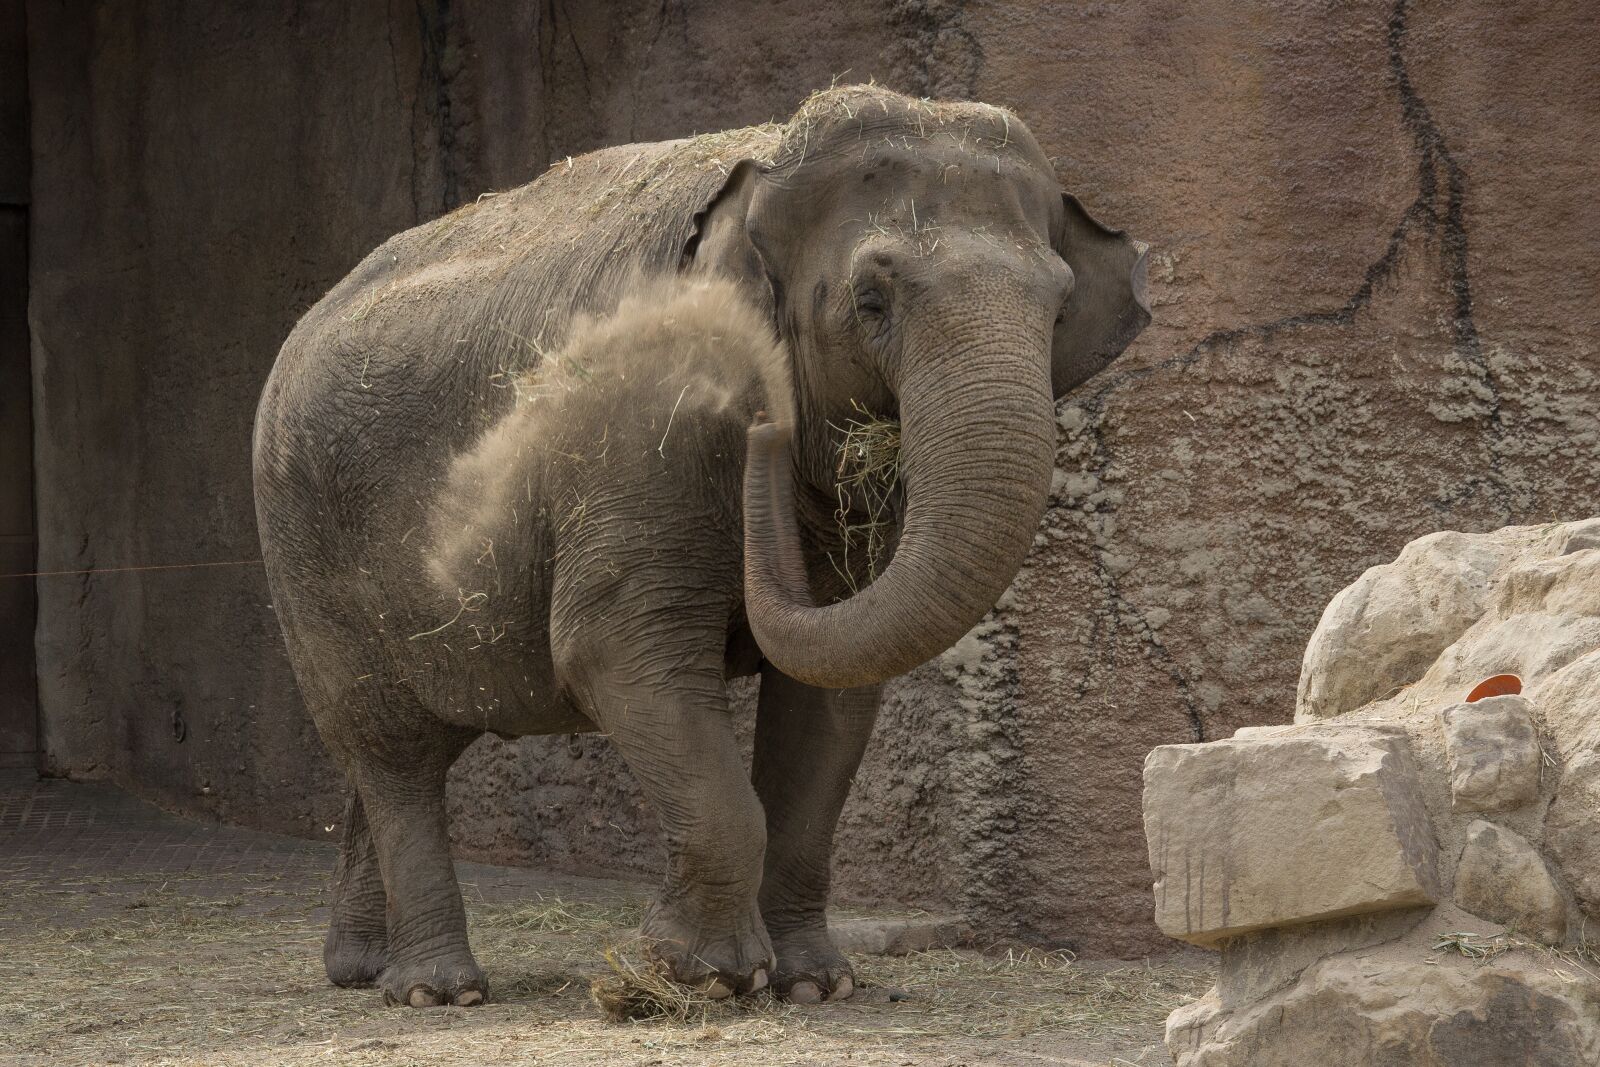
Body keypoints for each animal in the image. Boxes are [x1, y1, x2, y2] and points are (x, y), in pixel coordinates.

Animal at [252, 84, 1149, 1010]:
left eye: (1058, 306)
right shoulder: (640, 436)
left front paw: (813, 984)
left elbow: (829, 699)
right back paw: (442, 991)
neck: (764, 176)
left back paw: (363, 969)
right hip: (306, 547)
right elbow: (619, 651)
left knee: (412, 741)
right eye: (871, 299)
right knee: (387, 743)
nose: (767, 427)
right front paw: (701, 978)